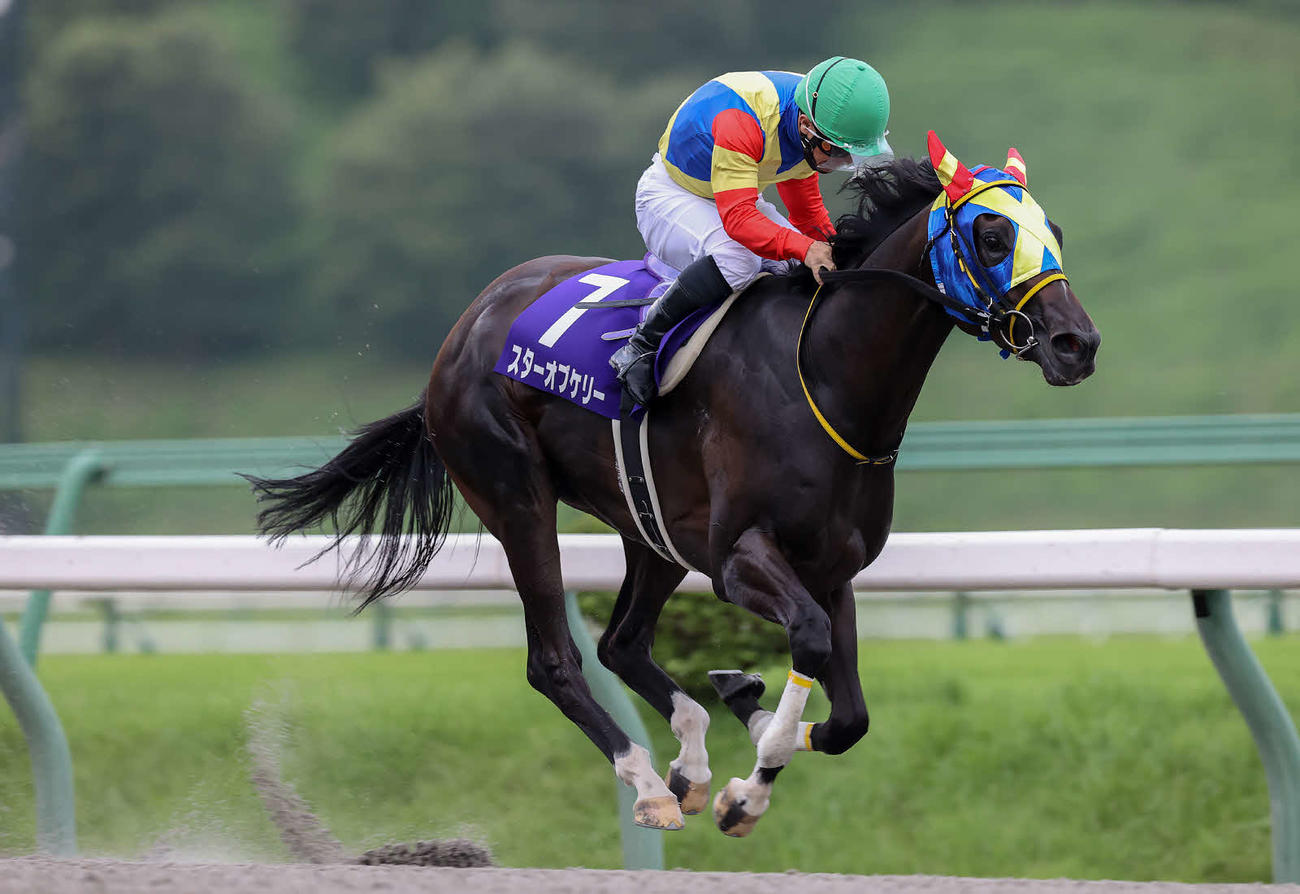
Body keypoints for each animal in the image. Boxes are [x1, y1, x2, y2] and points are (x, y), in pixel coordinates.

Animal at [246, 133, 1100, 838]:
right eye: (992, 235)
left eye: (1055, 233)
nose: (1076, 343)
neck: (825, 375)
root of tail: (462, 333)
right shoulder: (738, 558)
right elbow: (810, 643)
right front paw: (748, 777)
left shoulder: (832, 568)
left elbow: (850, 715)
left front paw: (746, 734)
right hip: (517, 496)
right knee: (555, 659)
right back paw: (651, 783)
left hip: (649, 526)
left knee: (621, 643)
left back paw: (689, 757)